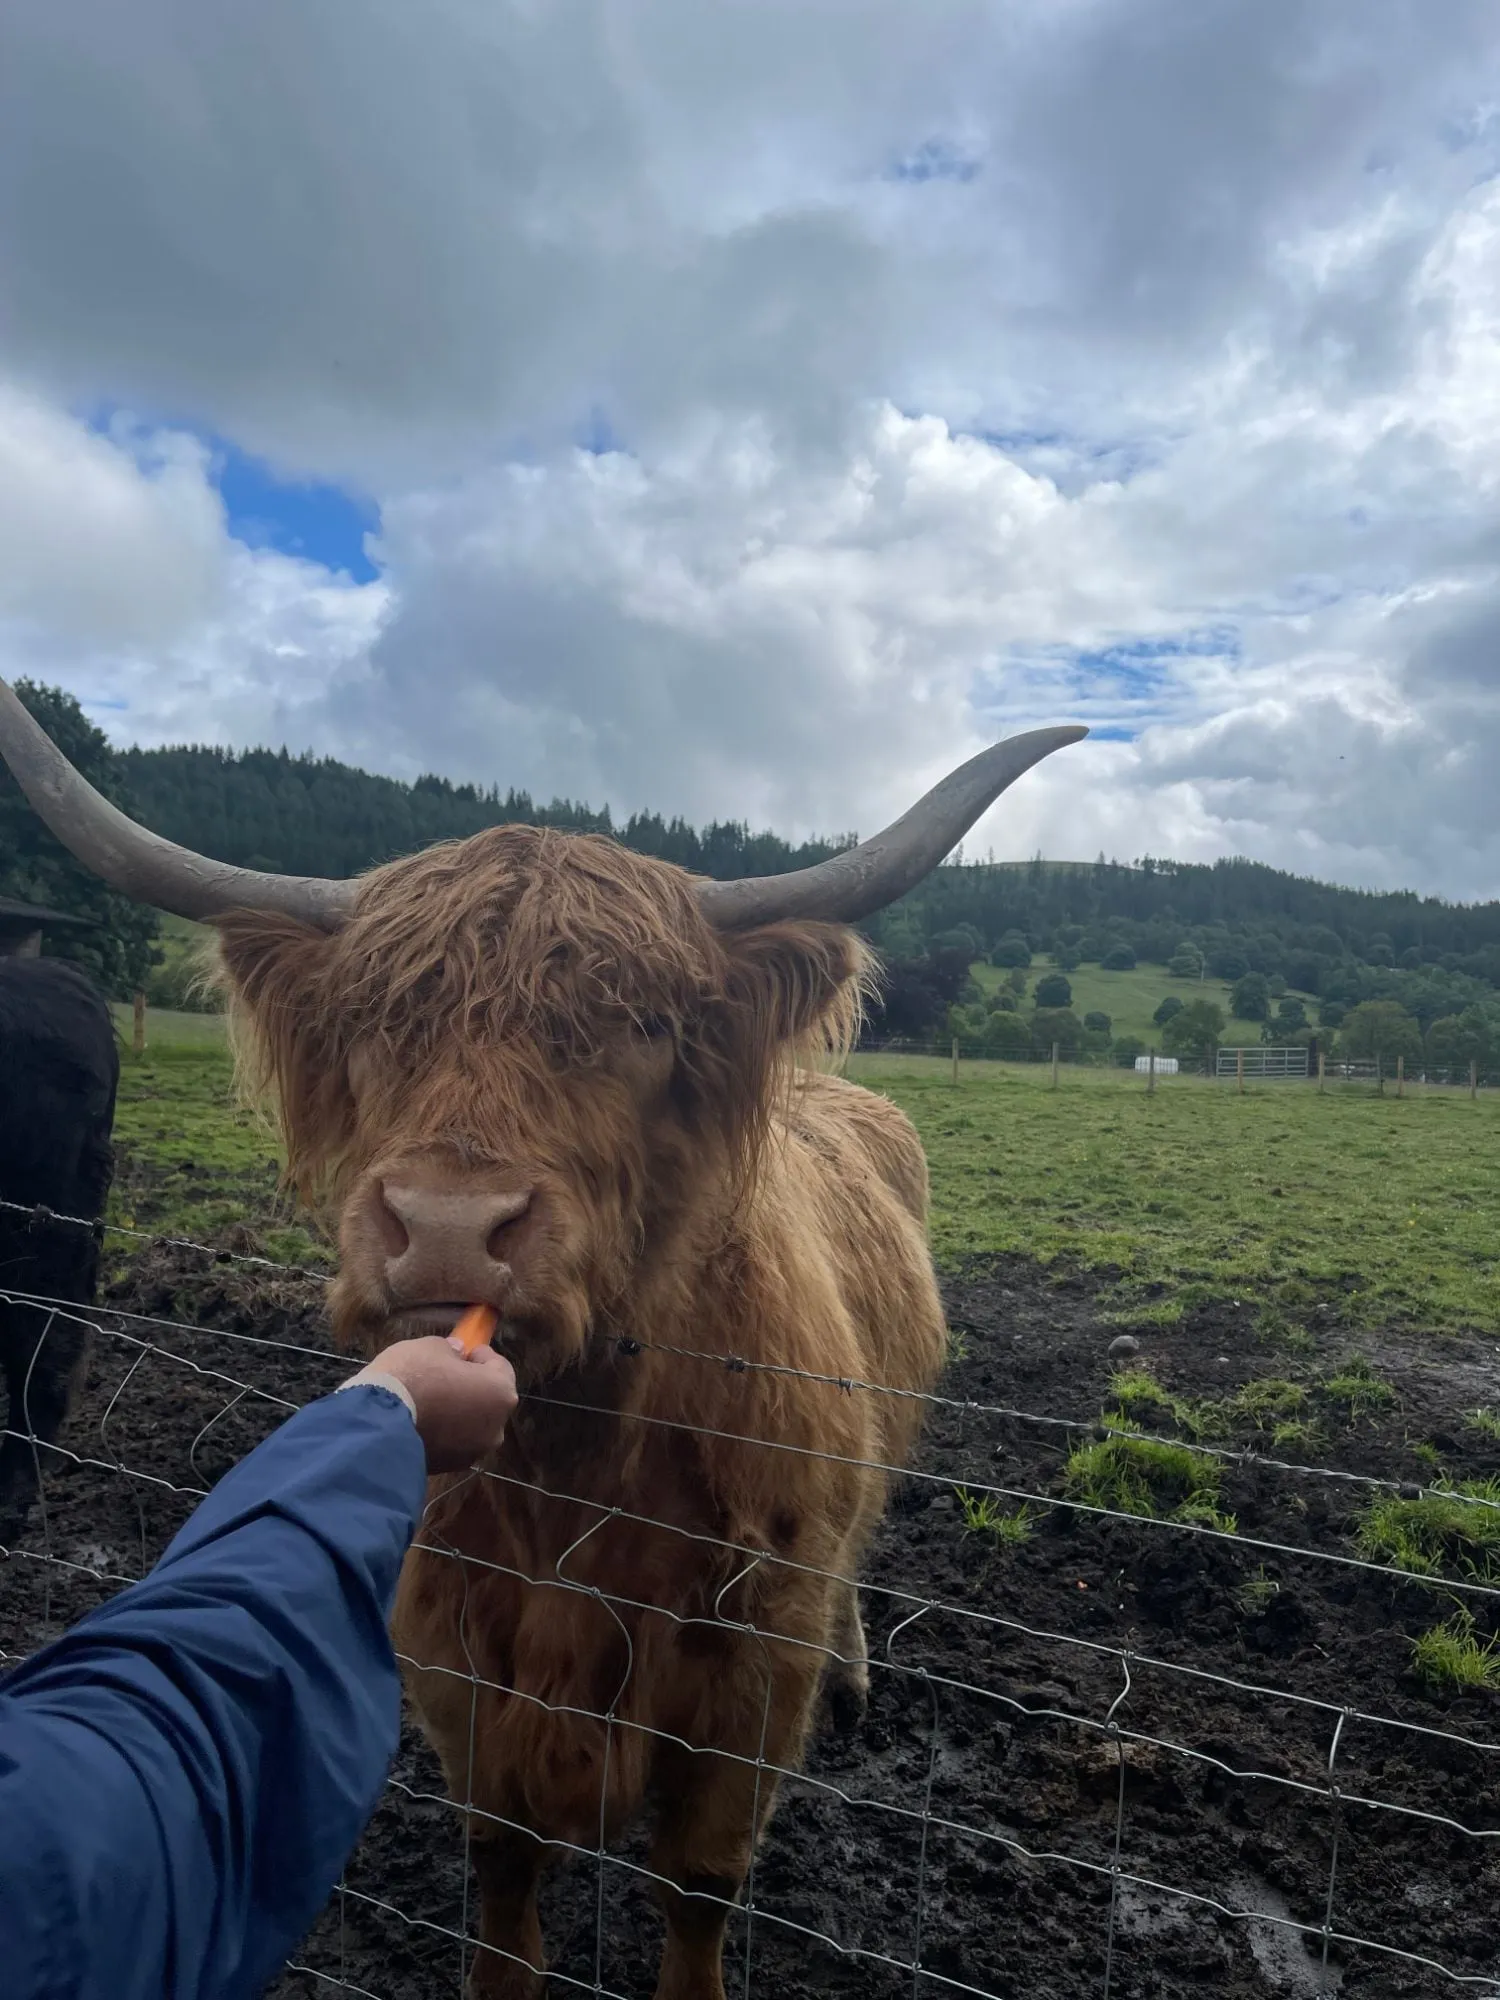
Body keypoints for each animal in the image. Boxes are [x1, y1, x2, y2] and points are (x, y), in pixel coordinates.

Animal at [0, 676, 1083, 2000]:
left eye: (647, 1021)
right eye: (371, 1021)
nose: (447, 1228)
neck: (575, 1468)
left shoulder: (749, 1672)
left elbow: (698, 1885)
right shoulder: (460, 1656)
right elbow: (503, 1871)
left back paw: (856, 1671)